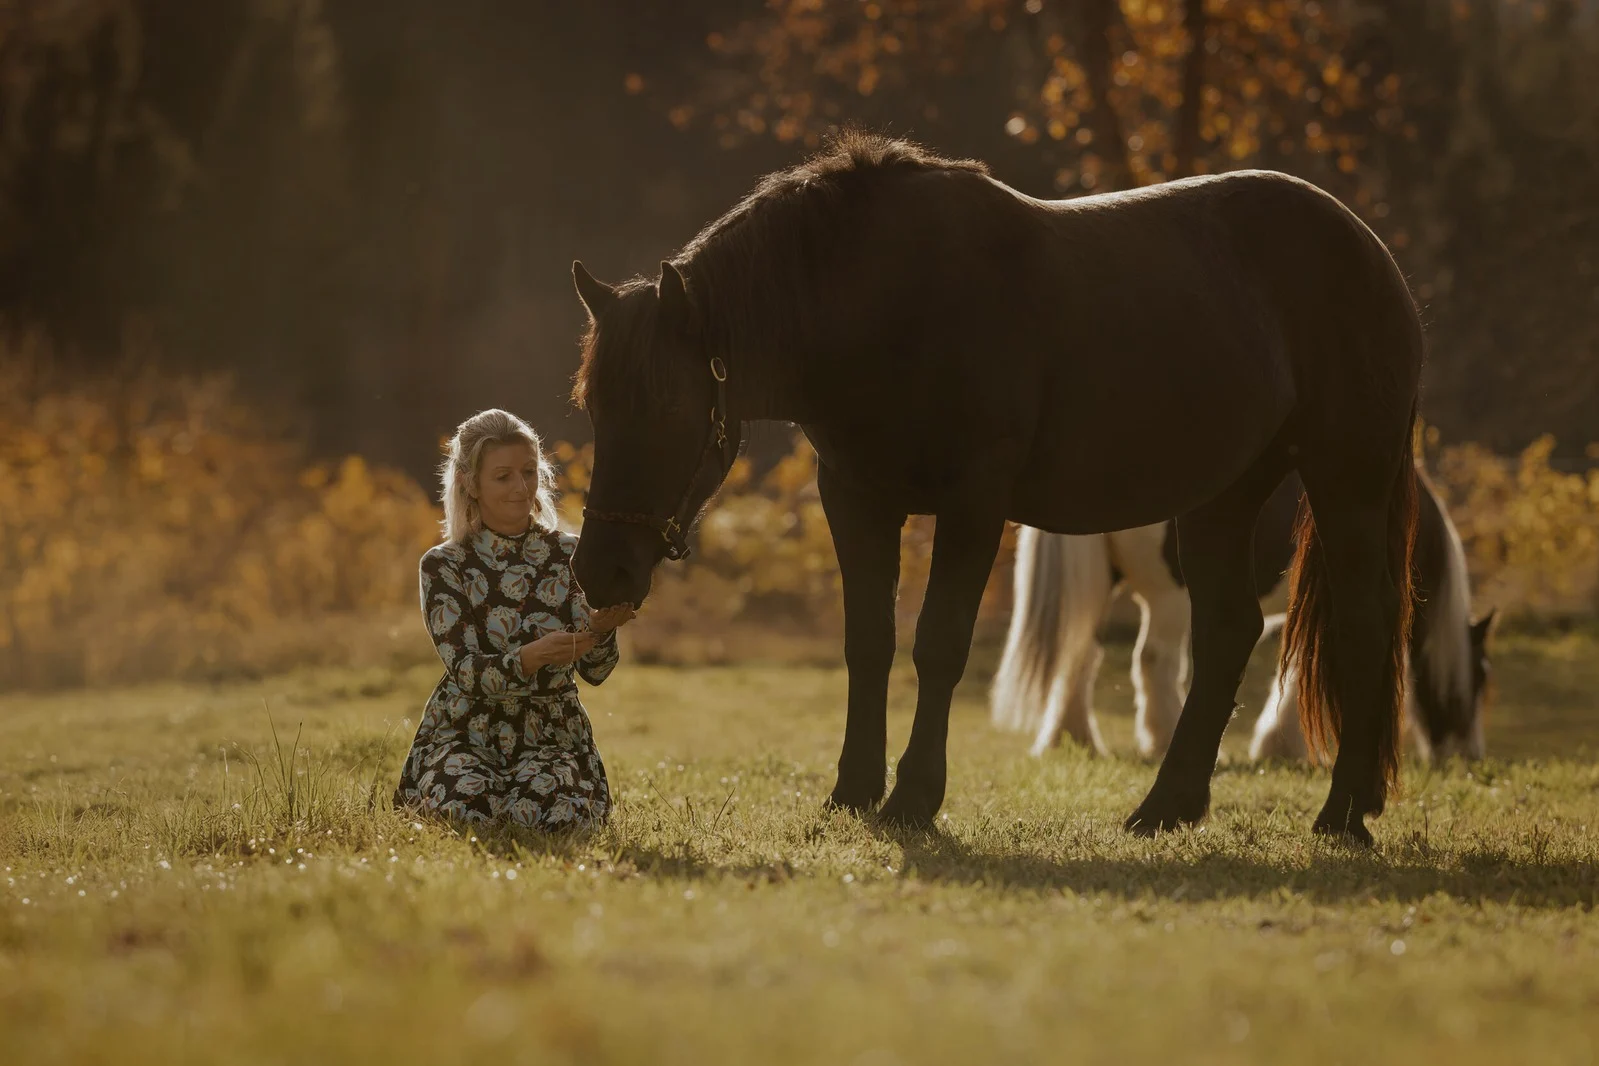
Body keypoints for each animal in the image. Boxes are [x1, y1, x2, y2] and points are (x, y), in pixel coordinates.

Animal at [568, 131, 1424, 844]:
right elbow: (867, 643)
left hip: (1346, 482)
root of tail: (1369, 250)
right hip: (1222, 498)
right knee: (1226, 633)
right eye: (592, 405)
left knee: (1364, 622)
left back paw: (1341, 812)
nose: (600, 569)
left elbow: (938, 644)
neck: (888, 305)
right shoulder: (855, 500)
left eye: (668, 406)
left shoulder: (973, 505)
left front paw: (913, 798)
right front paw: (852, 790)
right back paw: (1165, 807)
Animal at [992, 470, 1494, 763]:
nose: (1470, 757)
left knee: (1080, 654)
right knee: (1154, 661)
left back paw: (1073, 739)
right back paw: (1163, 738)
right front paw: (1283, 747)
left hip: (1100, 582)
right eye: (1477, 681)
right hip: (1171, 597)